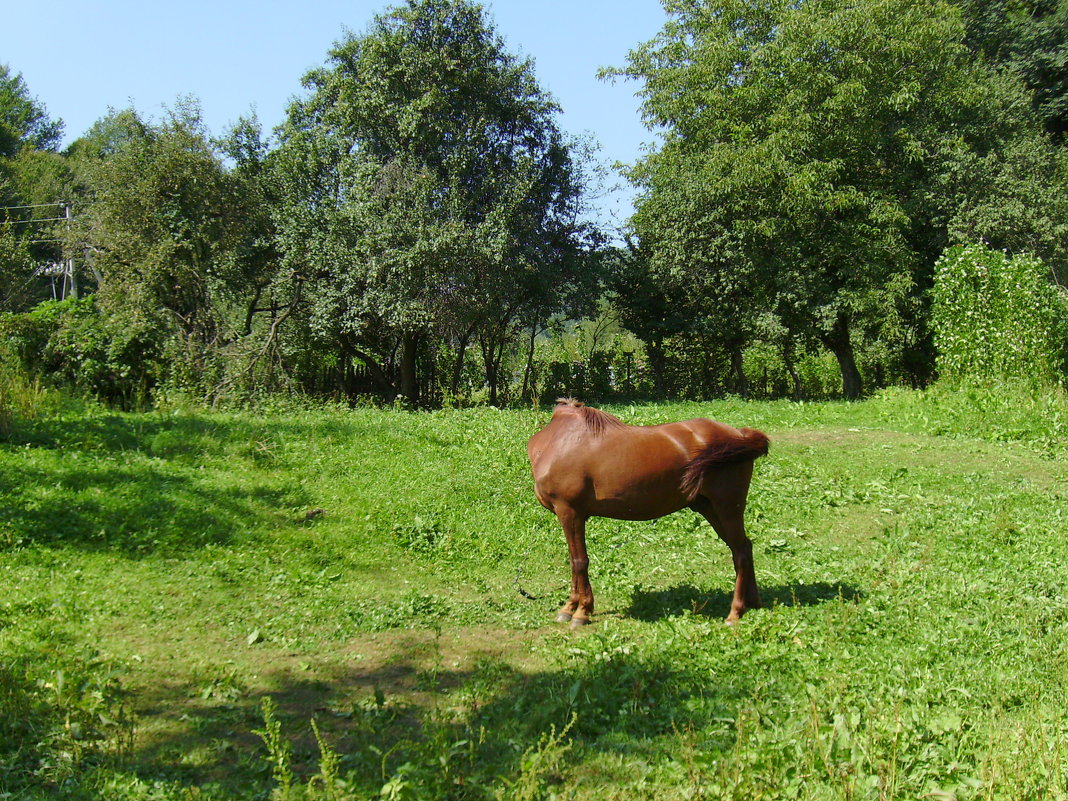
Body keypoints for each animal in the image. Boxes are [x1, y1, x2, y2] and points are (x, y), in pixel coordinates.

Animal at [529, 399, 773, 632]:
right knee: (744, 547)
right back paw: (754, 603)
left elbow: (579, 561)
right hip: (709, 508)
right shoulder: (572, 515)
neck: (559, 441)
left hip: (728, 507)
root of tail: (740, 434)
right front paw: (569, 608)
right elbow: (573, 562)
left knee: (740, 552)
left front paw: (581, 612)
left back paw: (735, 613)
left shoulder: (570, 512)